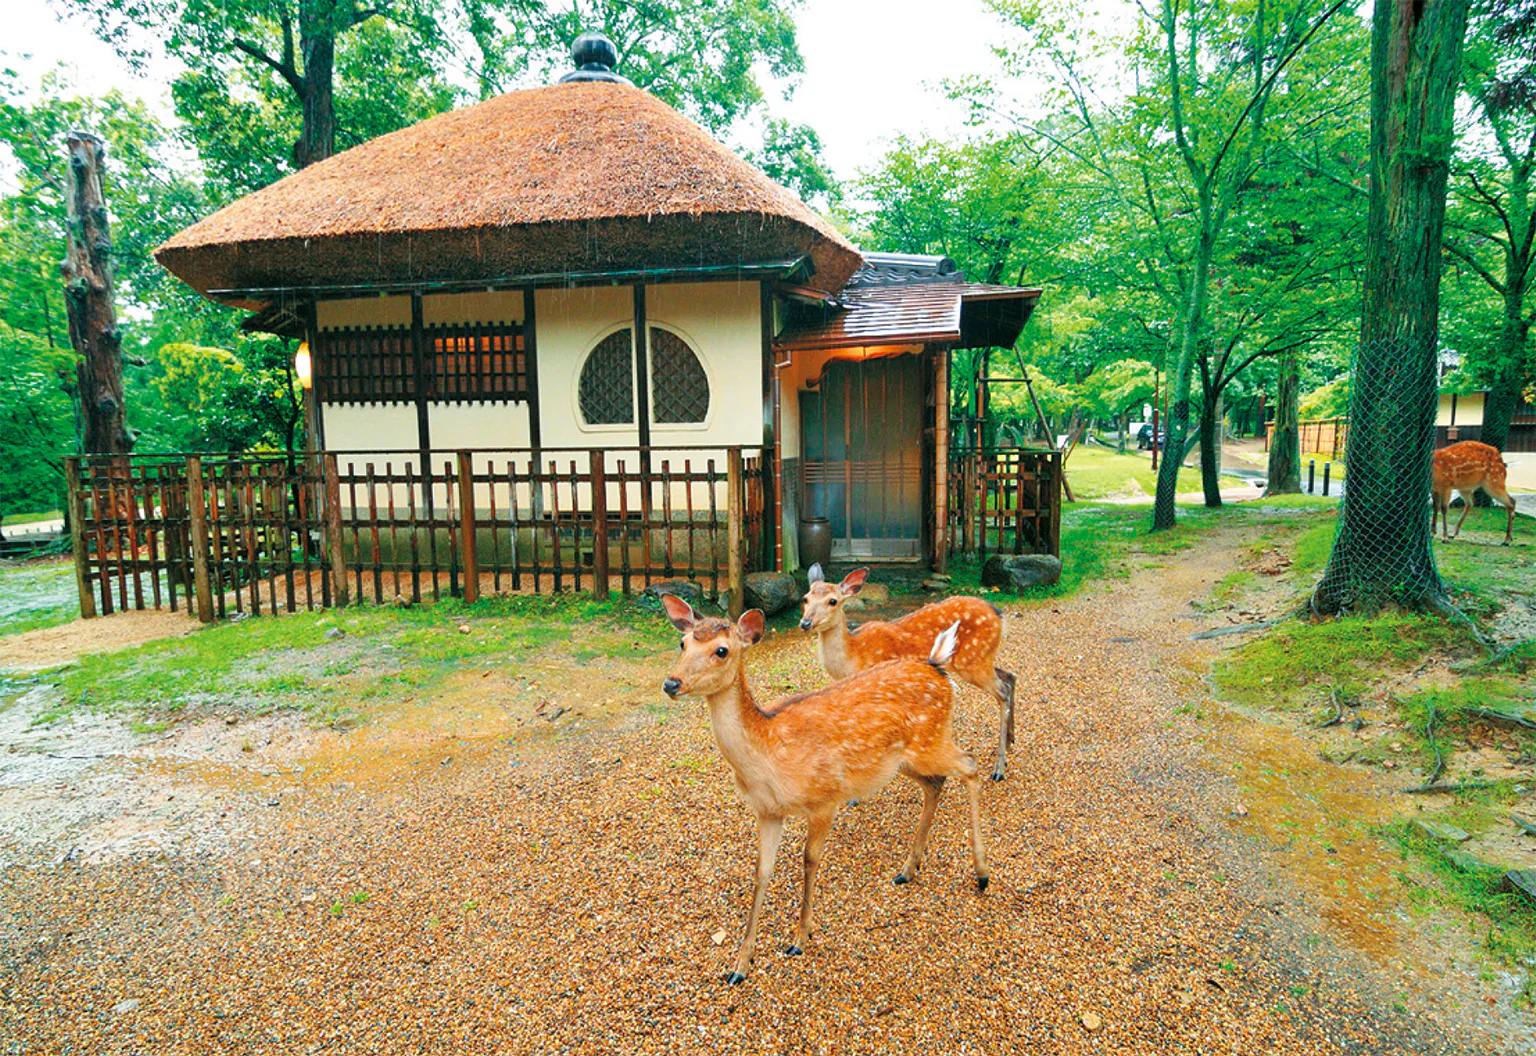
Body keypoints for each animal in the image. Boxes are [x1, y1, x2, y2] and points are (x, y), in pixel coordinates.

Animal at [659, 594, 989, 985]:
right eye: (683, 643)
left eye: (721, 650)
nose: (672, 683)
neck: (768, 756)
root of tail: (938, 667)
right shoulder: (767, 812)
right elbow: (762, 872)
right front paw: (740, 965)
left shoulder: (825, 798)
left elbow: (809, 860)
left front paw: (800, 938)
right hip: (905, 759)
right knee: (937, 784)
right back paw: (908, 869)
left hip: (932, 741)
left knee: (970, 766)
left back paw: (981, 874)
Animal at [798, 565, 1018, 781]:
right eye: (806, 598)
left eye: (832, 601)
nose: (805, 623)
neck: (854, 656)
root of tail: (999, 614)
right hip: (980, 660)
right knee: (1009, 676)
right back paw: (1010, 742)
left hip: (974, 661)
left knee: (1002, 691)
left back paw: (998, 769)